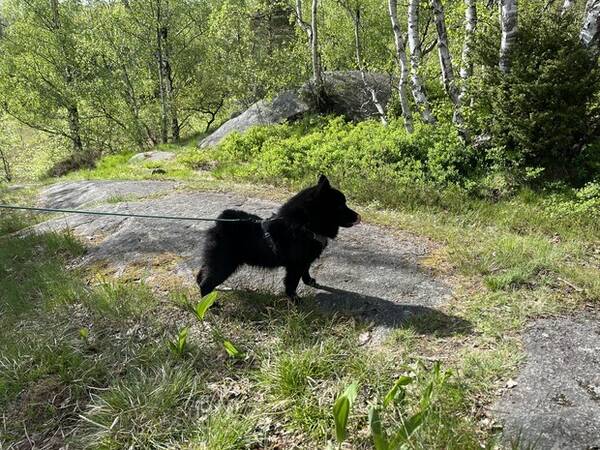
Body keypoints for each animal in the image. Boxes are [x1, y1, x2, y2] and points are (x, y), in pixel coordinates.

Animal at [196, 176, 360, 298]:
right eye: (340, 206)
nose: (359, 216)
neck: (304, 226)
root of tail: (220, 224)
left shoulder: (305, 261)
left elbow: (306, 272)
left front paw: (309, 282)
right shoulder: (295, 266)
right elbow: (292, 283)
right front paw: (294, 299)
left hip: (215, 261)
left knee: (200, 276)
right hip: (224, 264)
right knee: (205, 284)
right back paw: (211, 306)